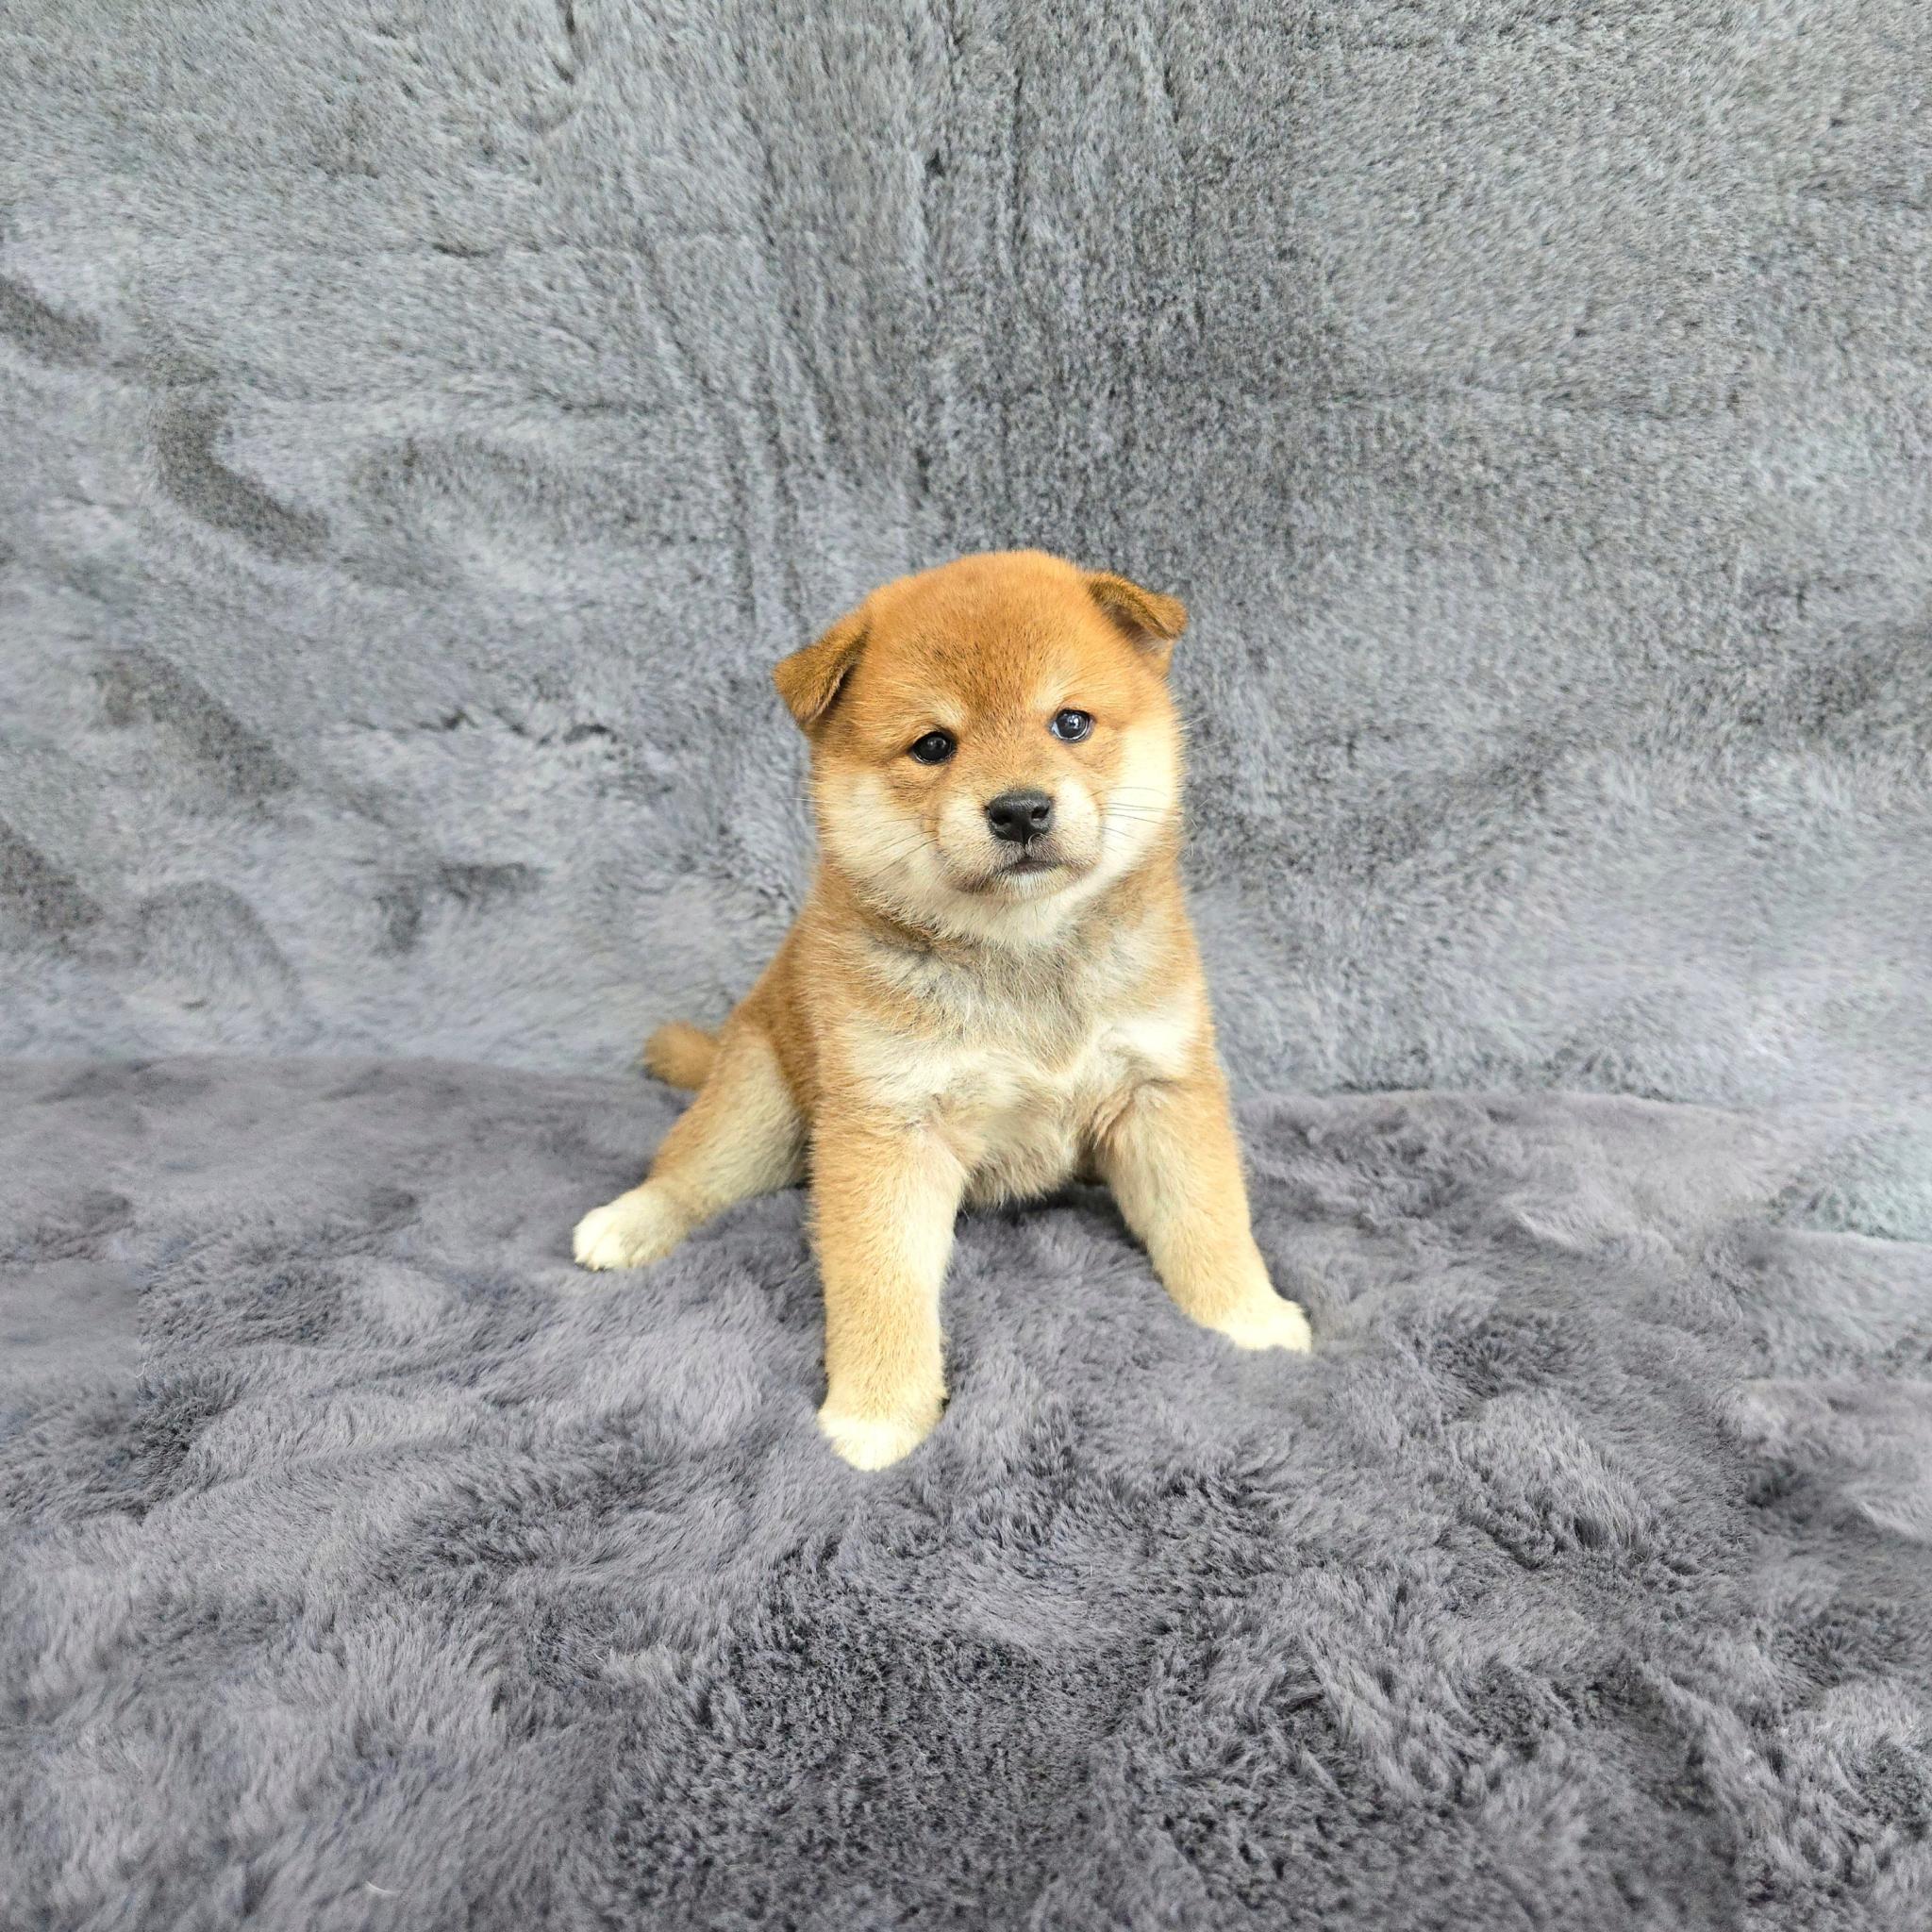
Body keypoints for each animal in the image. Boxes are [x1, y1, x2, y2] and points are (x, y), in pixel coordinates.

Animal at [574, 549, 1311, 1467]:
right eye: (933, 745)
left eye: (1071, 723)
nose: (1020, 808)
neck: (1021, 954)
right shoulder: (889, 1126)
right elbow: (882, 1282)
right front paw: (878, 1411)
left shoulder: (1161, 1088)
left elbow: (1206, 1218)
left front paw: (1248, 1314)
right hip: (759, 1096)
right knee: (691, 1173)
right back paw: (628, 1222)